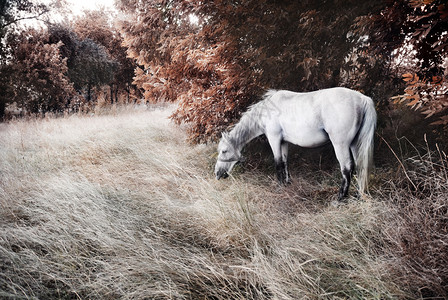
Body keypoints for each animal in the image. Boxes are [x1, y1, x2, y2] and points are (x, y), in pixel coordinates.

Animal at [215, 86, 376, 200]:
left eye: (224, 151)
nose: (217, 173)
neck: (267, 111)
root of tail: (362, 98)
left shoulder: (274, 139)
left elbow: (278, 163)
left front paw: (279, 187)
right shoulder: (283, 142)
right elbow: (285, 162)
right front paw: (287, 183)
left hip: (340, 145)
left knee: (347, 168)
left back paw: (340, 198)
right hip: (354, 144)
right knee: (360, 166)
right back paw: (358, 195)